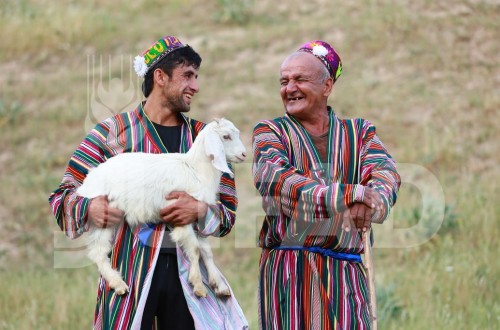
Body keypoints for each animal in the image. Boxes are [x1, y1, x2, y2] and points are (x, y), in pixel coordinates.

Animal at [77, 119, 247, 300]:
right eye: (226, 136)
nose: (244, 154)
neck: (195, 169)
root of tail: (88, 180)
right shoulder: (181, 215)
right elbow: (195, 249)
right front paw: (198, 285)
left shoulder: (195, 216)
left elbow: (205, 250)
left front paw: (219, 285)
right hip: (104, 216)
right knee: (98, 252)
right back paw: (119, 284)